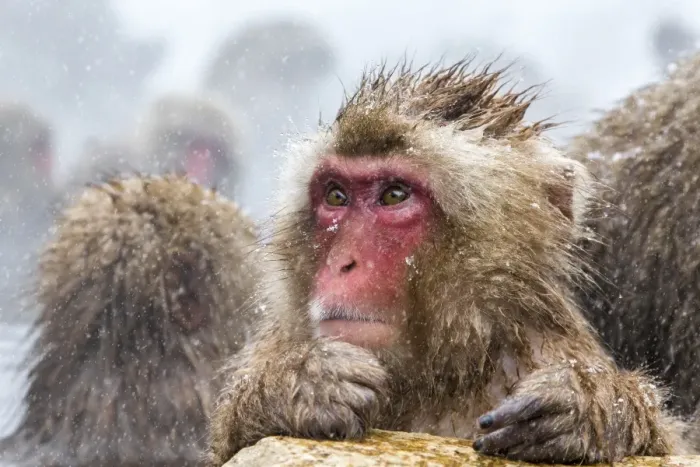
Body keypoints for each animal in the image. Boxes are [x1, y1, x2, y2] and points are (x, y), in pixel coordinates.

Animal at [206, 59, 687, 466]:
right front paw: (300, 386)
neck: (442, 371)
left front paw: (589, 405)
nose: (343, 262)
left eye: (394, 195)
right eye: (336, 195)